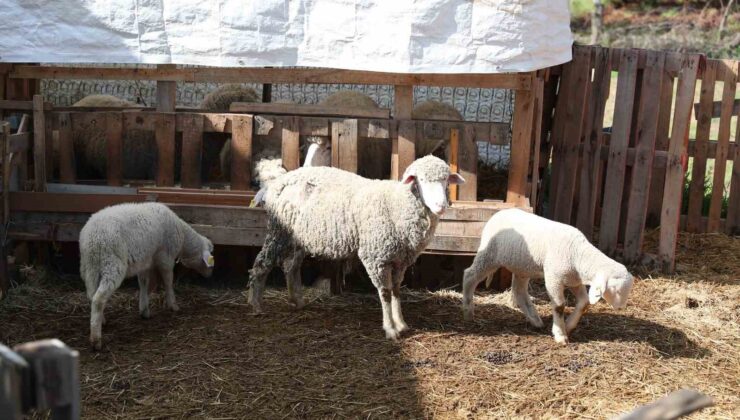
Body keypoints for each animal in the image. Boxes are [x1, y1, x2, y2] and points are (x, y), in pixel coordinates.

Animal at [80, 202, 214, 350]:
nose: (210, 275)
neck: (183, 236)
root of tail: (93, 237)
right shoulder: (165, 257)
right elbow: (168, 281)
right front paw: (173, 305)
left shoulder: (144, 261)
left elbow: (143, 283)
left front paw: (144, 310)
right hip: (111, 264)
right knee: (98, 299)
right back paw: (96, 340)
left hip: (90, 267)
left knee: (92, 295)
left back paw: (100, 320)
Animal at [251, 156, 466, 340]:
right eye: (420, 179)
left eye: (446, 180)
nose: (441, 206)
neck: (396, 203)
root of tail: (278, 180)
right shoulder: (376, 256)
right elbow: (385, 293)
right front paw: (390, 329)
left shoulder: (400, 260)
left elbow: (396, 291)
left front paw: (401, 323)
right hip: (279, 231)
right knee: (261, 264)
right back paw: (256, 304)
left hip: (299, 237)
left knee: (291, 266)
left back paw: (297, 301)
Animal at [460, 209, 632, 344]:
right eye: (616, 290)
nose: (621, 307)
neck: (578, 254)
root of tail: (498, 213)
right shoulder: (554, 278)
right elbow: (559, 306)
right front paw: (560, 334)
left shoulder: (572, 280)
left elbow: (584, 303)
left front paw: (568, 325)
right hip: (489, 254)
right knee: (470, 275)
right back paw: (468, 311)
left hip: (522, 265)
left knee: (519, 291)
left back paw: (535, 320)